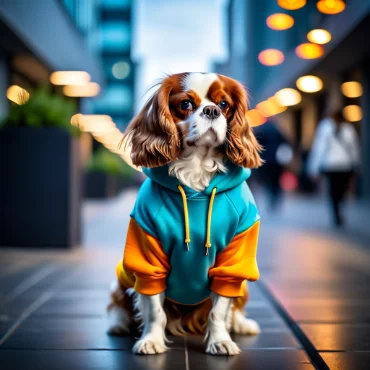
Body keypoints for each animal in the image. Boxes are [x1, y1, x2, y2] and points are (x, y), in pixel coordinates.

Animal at [107, 73, 264, 356]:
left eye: (223, 104)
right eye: (186, 104)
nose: (212, 111)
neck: (196, 175)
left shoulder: (232, 263)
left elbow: (219, 310)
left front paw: (220, 341)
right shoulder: (148, 258)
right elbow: (154, 310)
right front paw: (151, 340)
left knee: (235, 308)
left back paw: (242, 325)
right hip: (122, 275)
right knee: (118, 301)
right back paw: (119, 324)